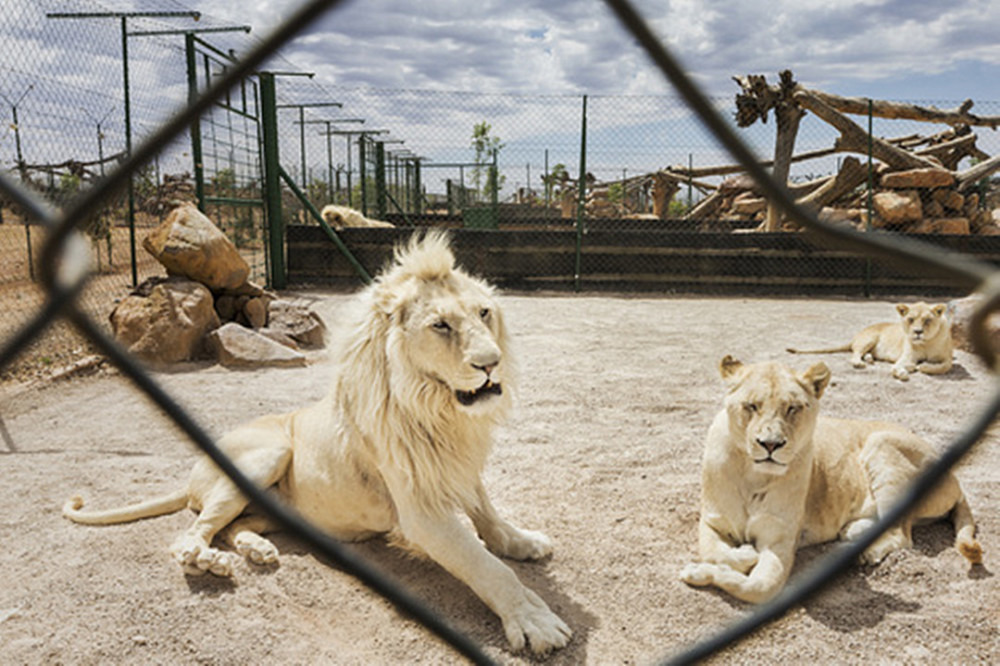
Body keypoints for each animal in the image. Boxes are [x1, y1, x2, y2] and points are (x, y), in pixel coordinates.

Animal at [64, 231, 572, 652]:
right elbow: (485, 566)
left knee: (230, 526)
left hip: (273, 506)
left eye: (484, 313)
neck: (442, 412)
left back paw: (256, 550)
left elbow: (490, 516)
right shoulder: (421, 512)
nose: (492, 363)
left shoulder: (461, 470)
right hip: (269, 453)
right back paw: (207, 561)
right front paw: (534, 621)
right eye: (441, 326)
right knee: (190, 534)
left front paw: (523, 541)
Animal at [680, 356, 984, 604]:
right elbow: (714, 552)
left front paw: (708, 568)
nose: (771, 444)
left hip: (881, 442)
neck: (754, 475)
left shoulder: (780, 539)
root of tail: (955, 479)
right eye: (751, 406)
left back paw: (867, 552)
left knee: (902, 533)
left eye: (793, 408)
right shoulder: (712, 521)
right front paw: (737, 556)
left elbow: (758, 588)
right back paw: (854, 531)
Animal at [788, 300, 952, 378]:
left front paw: (923, 366)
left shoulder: (948, 358)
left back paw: (869, 359)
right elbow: (898, 367)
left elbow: (944, 366)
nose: (917, 332)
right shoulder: (907, 357)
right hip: (869, 338)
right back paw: (860, 363)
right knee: (855, 353)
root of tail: (856, 335)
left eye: (927, 320)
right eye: (911, 319)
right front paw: (905, 371)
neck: (927, 342)